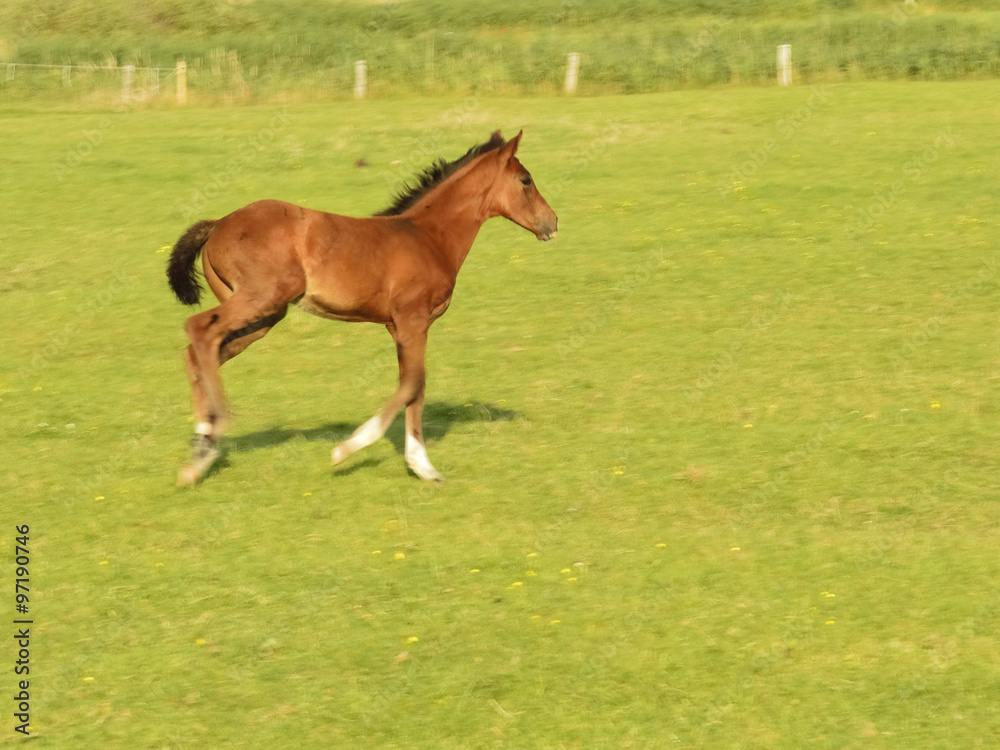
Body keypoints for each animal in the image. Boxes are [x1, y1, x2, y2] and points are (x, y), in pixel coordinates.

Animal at [167, 130, 557, 485]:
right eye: (525, 180)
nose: (552, 223)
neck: (428, 237)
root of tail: (218, 224)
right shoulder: (413, 319)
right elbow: (414, 382)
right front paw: (350, 449)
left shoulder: (399, 327)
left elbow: (413, 386)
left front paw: (421, 466)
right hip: (263, 297)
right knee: (200, 330)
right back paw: (213, 431)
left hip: (264, 316)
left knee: (200, 352)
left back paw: (201, 450)